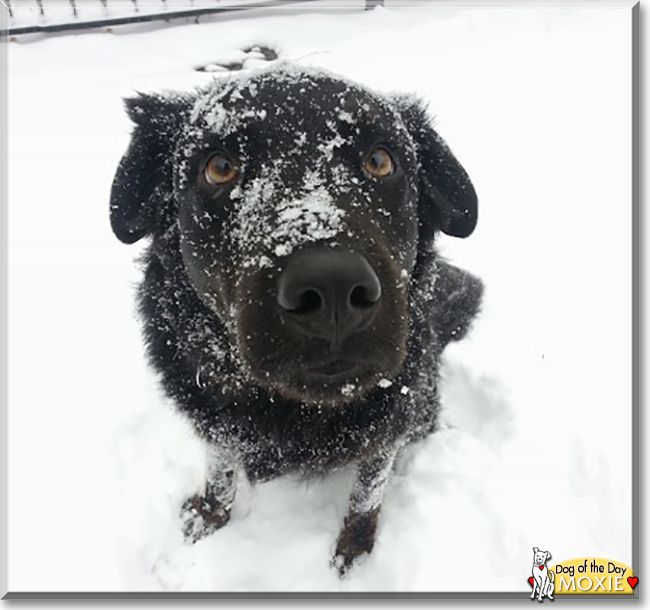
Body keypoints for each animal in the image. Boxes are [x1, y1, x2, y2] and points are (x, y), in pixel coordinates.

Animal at [110, 64, 480, 572]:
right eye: (219, 167)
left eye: (380, 161)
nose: (333, 288)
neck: (291, 408)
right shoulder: (215, 419)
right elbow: (220, 468)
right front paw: (209, 516)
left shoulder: (386, 427)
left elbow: (366, 495)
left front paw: (353, 557)